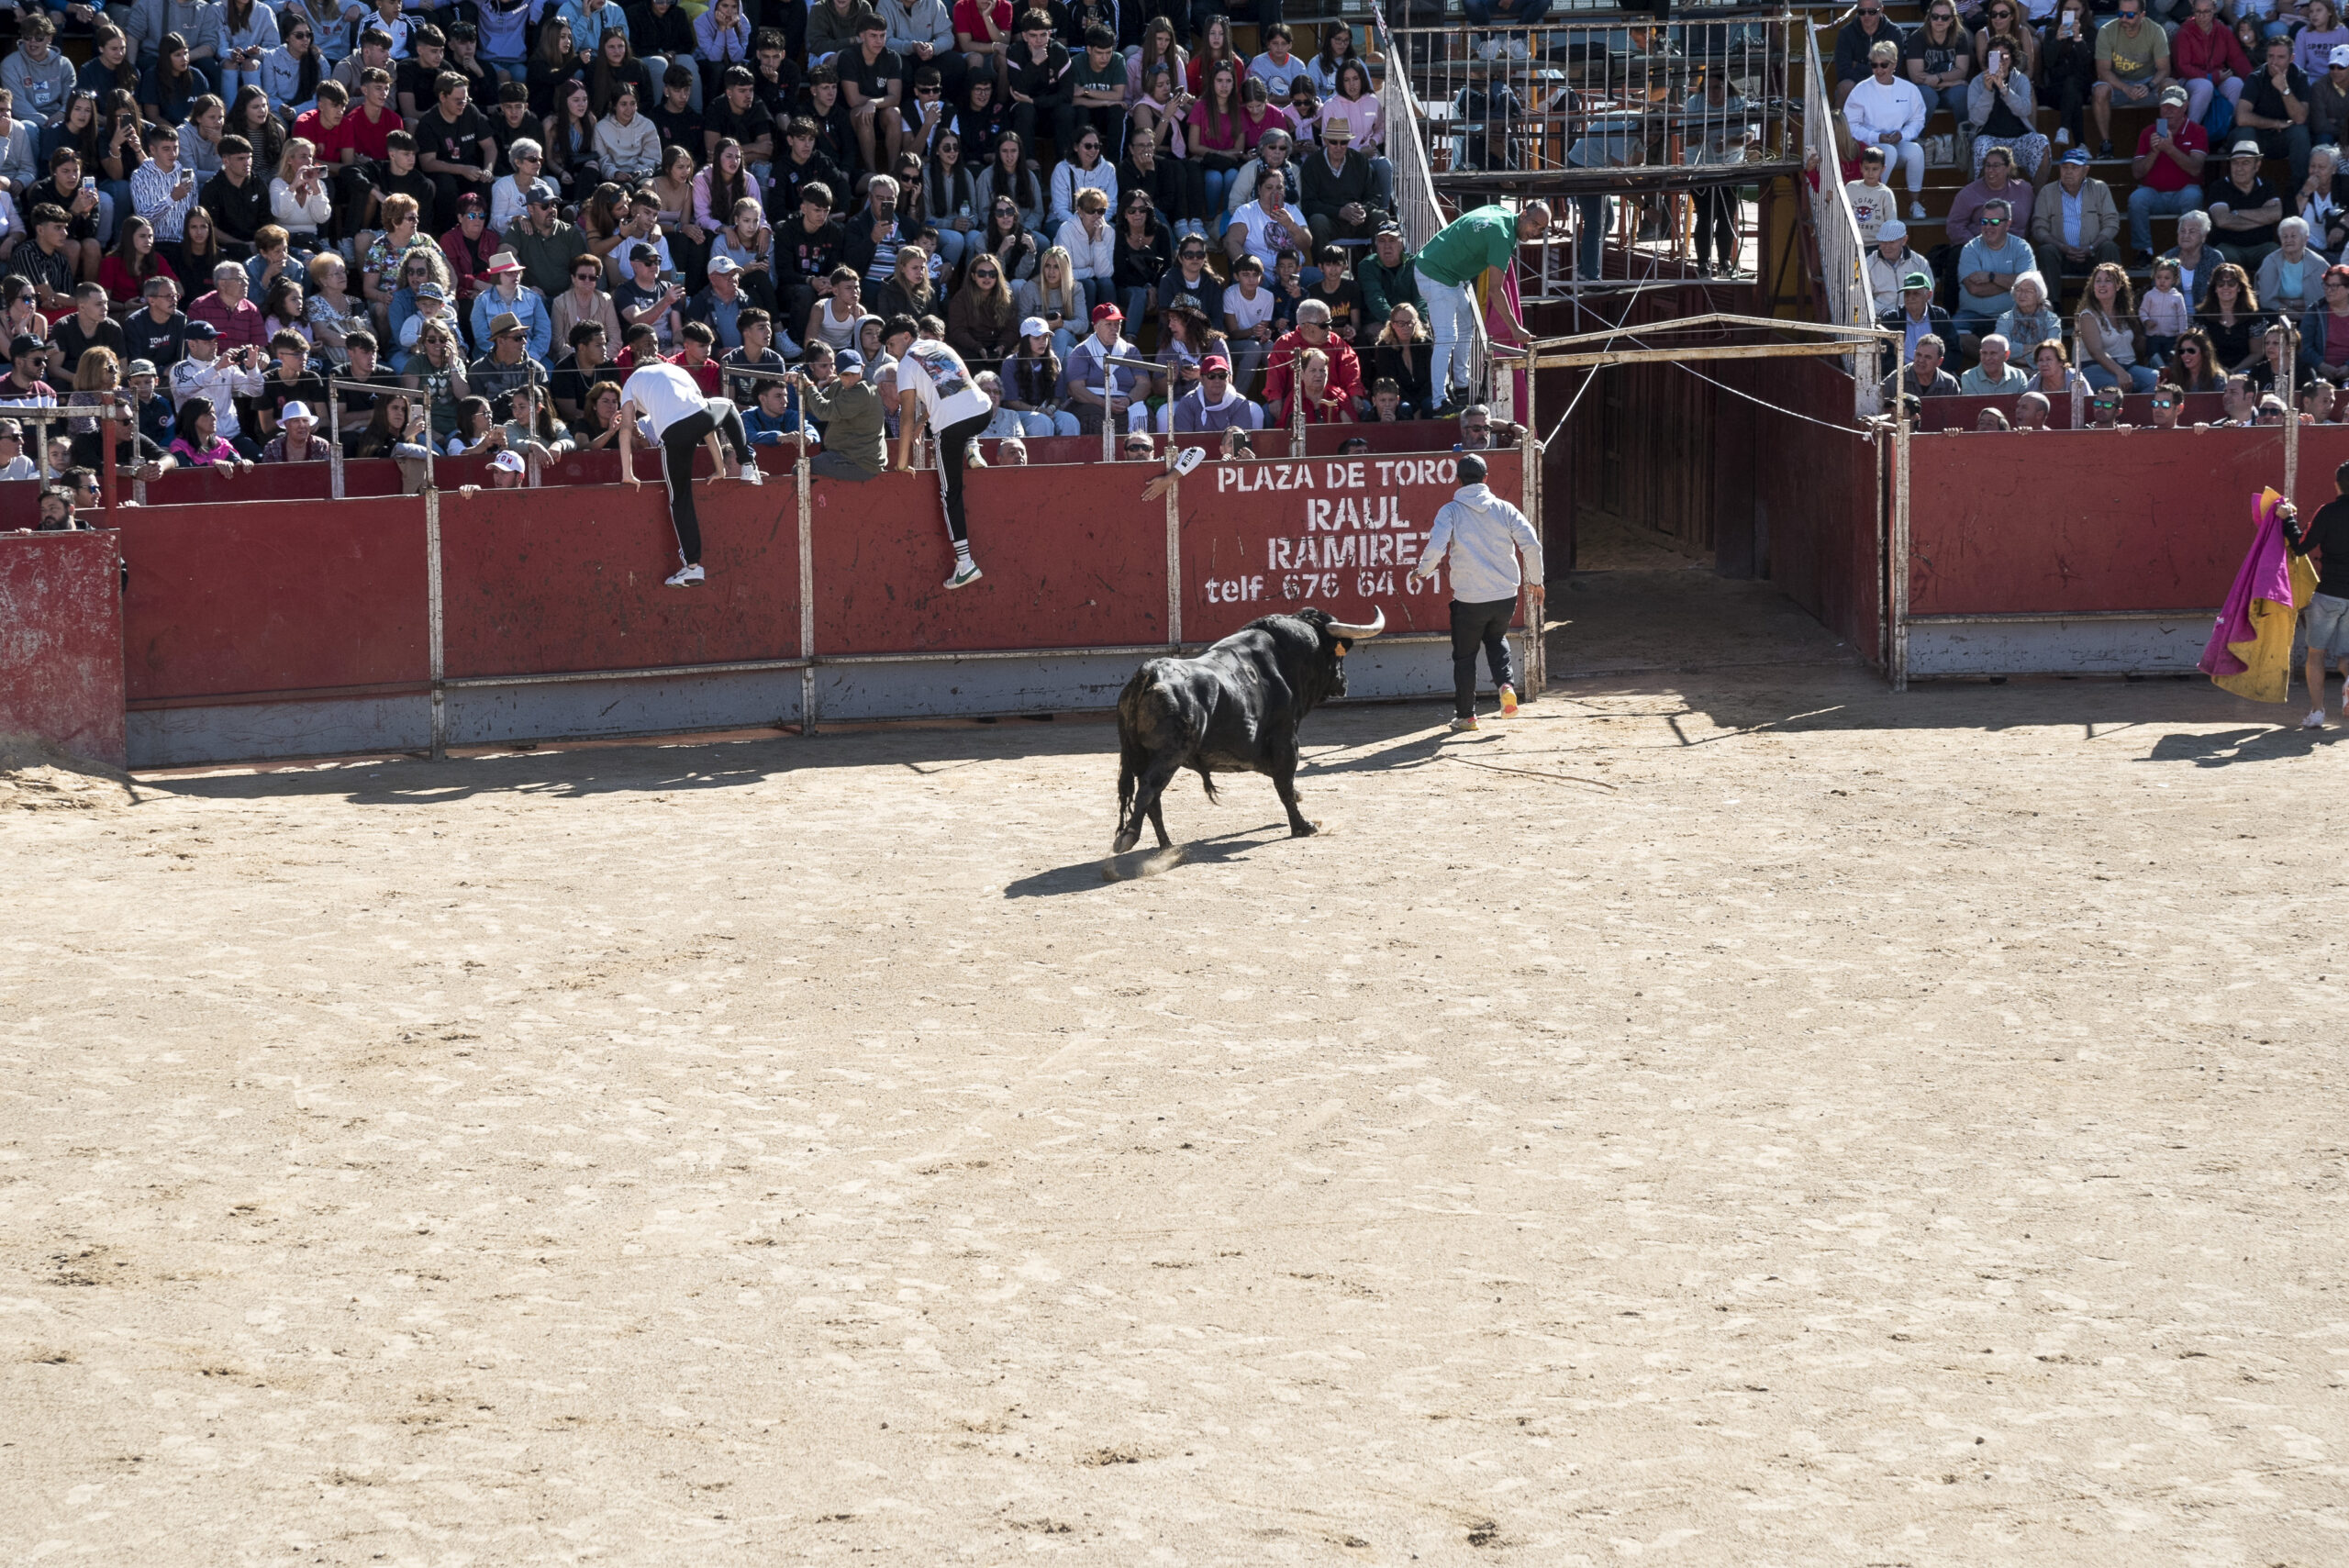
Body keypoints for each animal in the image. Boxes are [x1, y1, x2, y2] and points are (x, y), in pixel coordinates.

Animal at [1113, 606, 1381, 850]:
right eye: (1338, 655)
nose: (1343, 682)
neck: (1285, 657)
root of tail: (1150, 673)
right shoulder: (1286, 738)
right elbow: (1284, 782)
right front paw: (1303, 826)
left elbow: (1282, 780)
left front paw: (1299, 801)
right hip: (1170, 754)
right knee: (1149, 789)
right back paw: (1129, 838)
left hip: (1141, 755)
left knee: (1153, 799)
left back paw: (1168, 847)